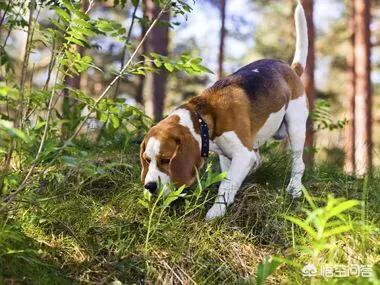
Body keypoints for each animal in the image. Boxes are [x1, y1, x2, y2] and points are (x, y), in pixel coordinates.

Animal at [140, 2, 308, 219]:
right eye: (147, 160)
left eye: (166, 160)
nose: (149, 186)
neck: (203, 119)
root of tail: (291, 69)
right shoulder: (227, 156)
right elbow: (228, 179)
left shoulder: (242, 154)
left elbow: (226, 186)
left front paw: (216, 211)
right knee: (259, 160)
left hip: (296, 126)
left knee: (298, 162)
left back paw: (294, 189)